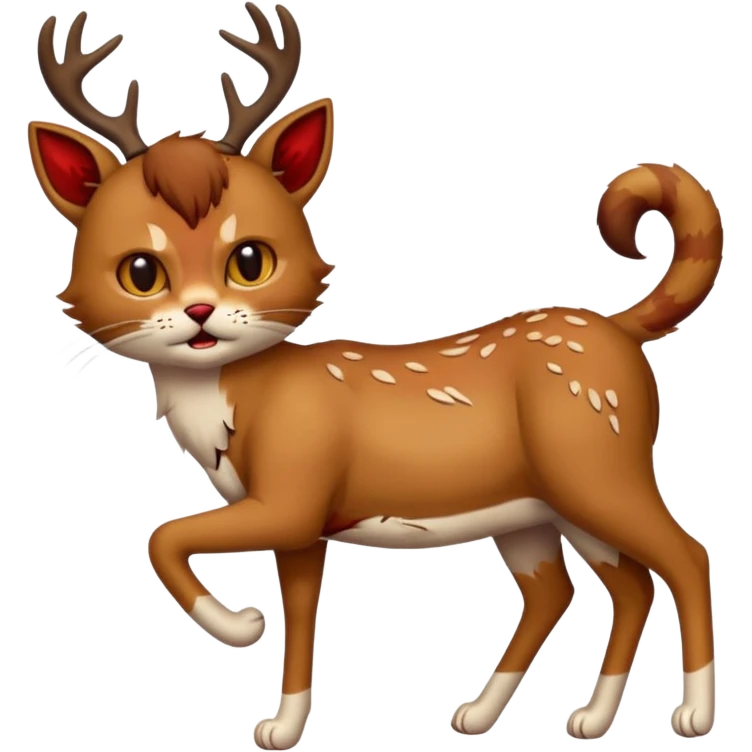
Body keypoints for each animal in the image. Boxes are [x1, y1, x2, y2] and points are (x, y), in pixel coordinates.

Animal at [29, 3, 721, 748]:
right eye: (140, 271)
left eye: (250, 260)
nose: (199, 314)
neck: (244, 403)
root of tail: (618, 326)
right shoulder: (302, 531)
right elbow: (299, 615)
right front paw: (285, 722)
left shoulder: (291, 498)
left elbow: (164, 536)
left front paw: (238, 626)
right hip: (539, 508)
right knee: (592, 588)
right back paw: (543, 715)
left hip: (598, 473)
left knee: (684, 558)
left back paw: (691, 714)